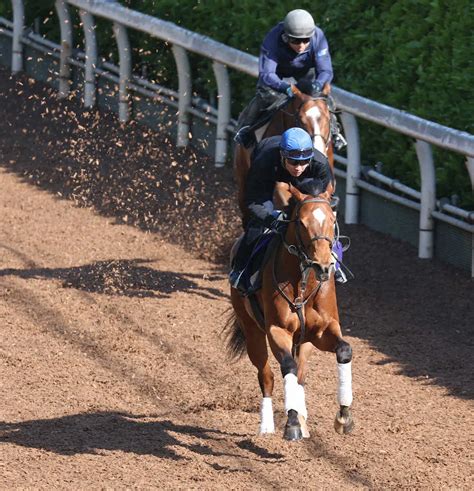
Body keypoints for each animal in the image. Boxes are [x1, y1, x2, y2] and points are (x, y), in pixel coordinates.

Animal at [227, 184, 356, 442]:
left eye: (332, 219)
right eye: (303, 223)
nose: (323, 266)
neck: (303, 283)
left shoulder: (322, 331)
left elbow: (344, 350)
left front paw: (344, 417)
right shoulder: (277, 330)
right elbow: (288, 367)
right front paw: (292, 423)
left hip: (304, 342)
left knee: (301, 375)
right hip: (252, 331)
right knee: (266, 376)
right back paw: (267, 425)